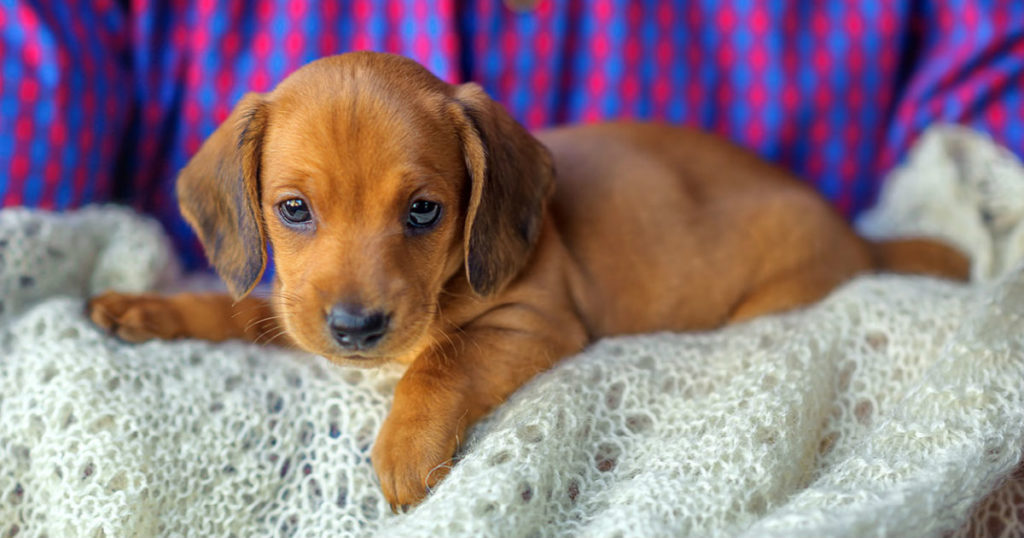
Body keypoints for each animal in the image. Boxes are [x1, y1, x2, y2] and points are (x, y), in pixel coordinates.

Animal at [90, 52, 966, 510]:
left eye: (424, 211)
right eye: (294, 210)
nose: (356, 330)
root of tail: (859, 237)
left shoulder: (531, 326)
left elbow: (441, 362)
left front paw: (404, 448)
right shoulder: (293, 311)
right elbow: (232, 310)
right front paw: (148, 307)